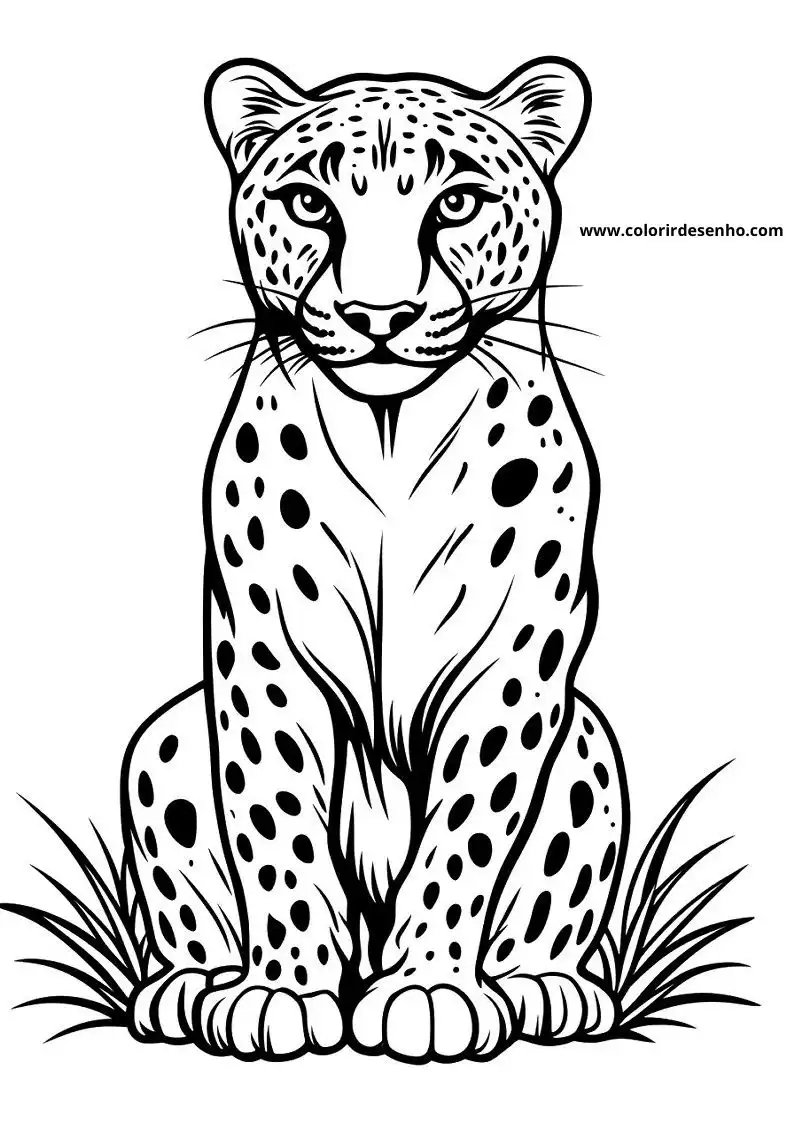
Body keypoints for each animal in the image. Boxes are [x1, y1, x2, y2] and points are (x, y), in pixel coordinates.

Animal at [121, 56, 629, 1064]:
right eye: (311, 203)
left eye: (458, 201)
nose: (380, 314)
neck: (393, 433)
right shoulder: (264, 649)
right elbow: (274, 818)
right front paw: (281, 992)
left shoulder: (511, 659)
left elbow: (470, 830)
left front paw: (429, 988)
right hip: (163, 740)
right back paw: (192, 985)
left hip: (589, 741)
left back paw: (542, 985)